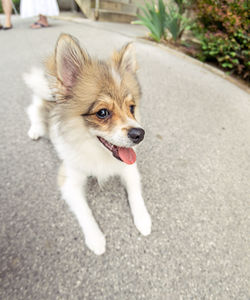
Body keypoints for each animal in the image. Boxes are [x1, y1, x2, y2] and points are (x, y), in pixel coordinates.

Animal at [24, 33, 151, 255]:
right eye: (102, 112)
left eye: (132, 108)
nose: (139, 134)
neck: (98, 153)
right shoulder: (69, 181)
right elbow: (85, 211)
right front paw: (96, 238)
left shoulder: (129, 170)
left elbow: (136, 193)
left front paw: (143, 219)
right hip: (41, 106)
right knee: (33, 110)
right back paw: (36, 130)